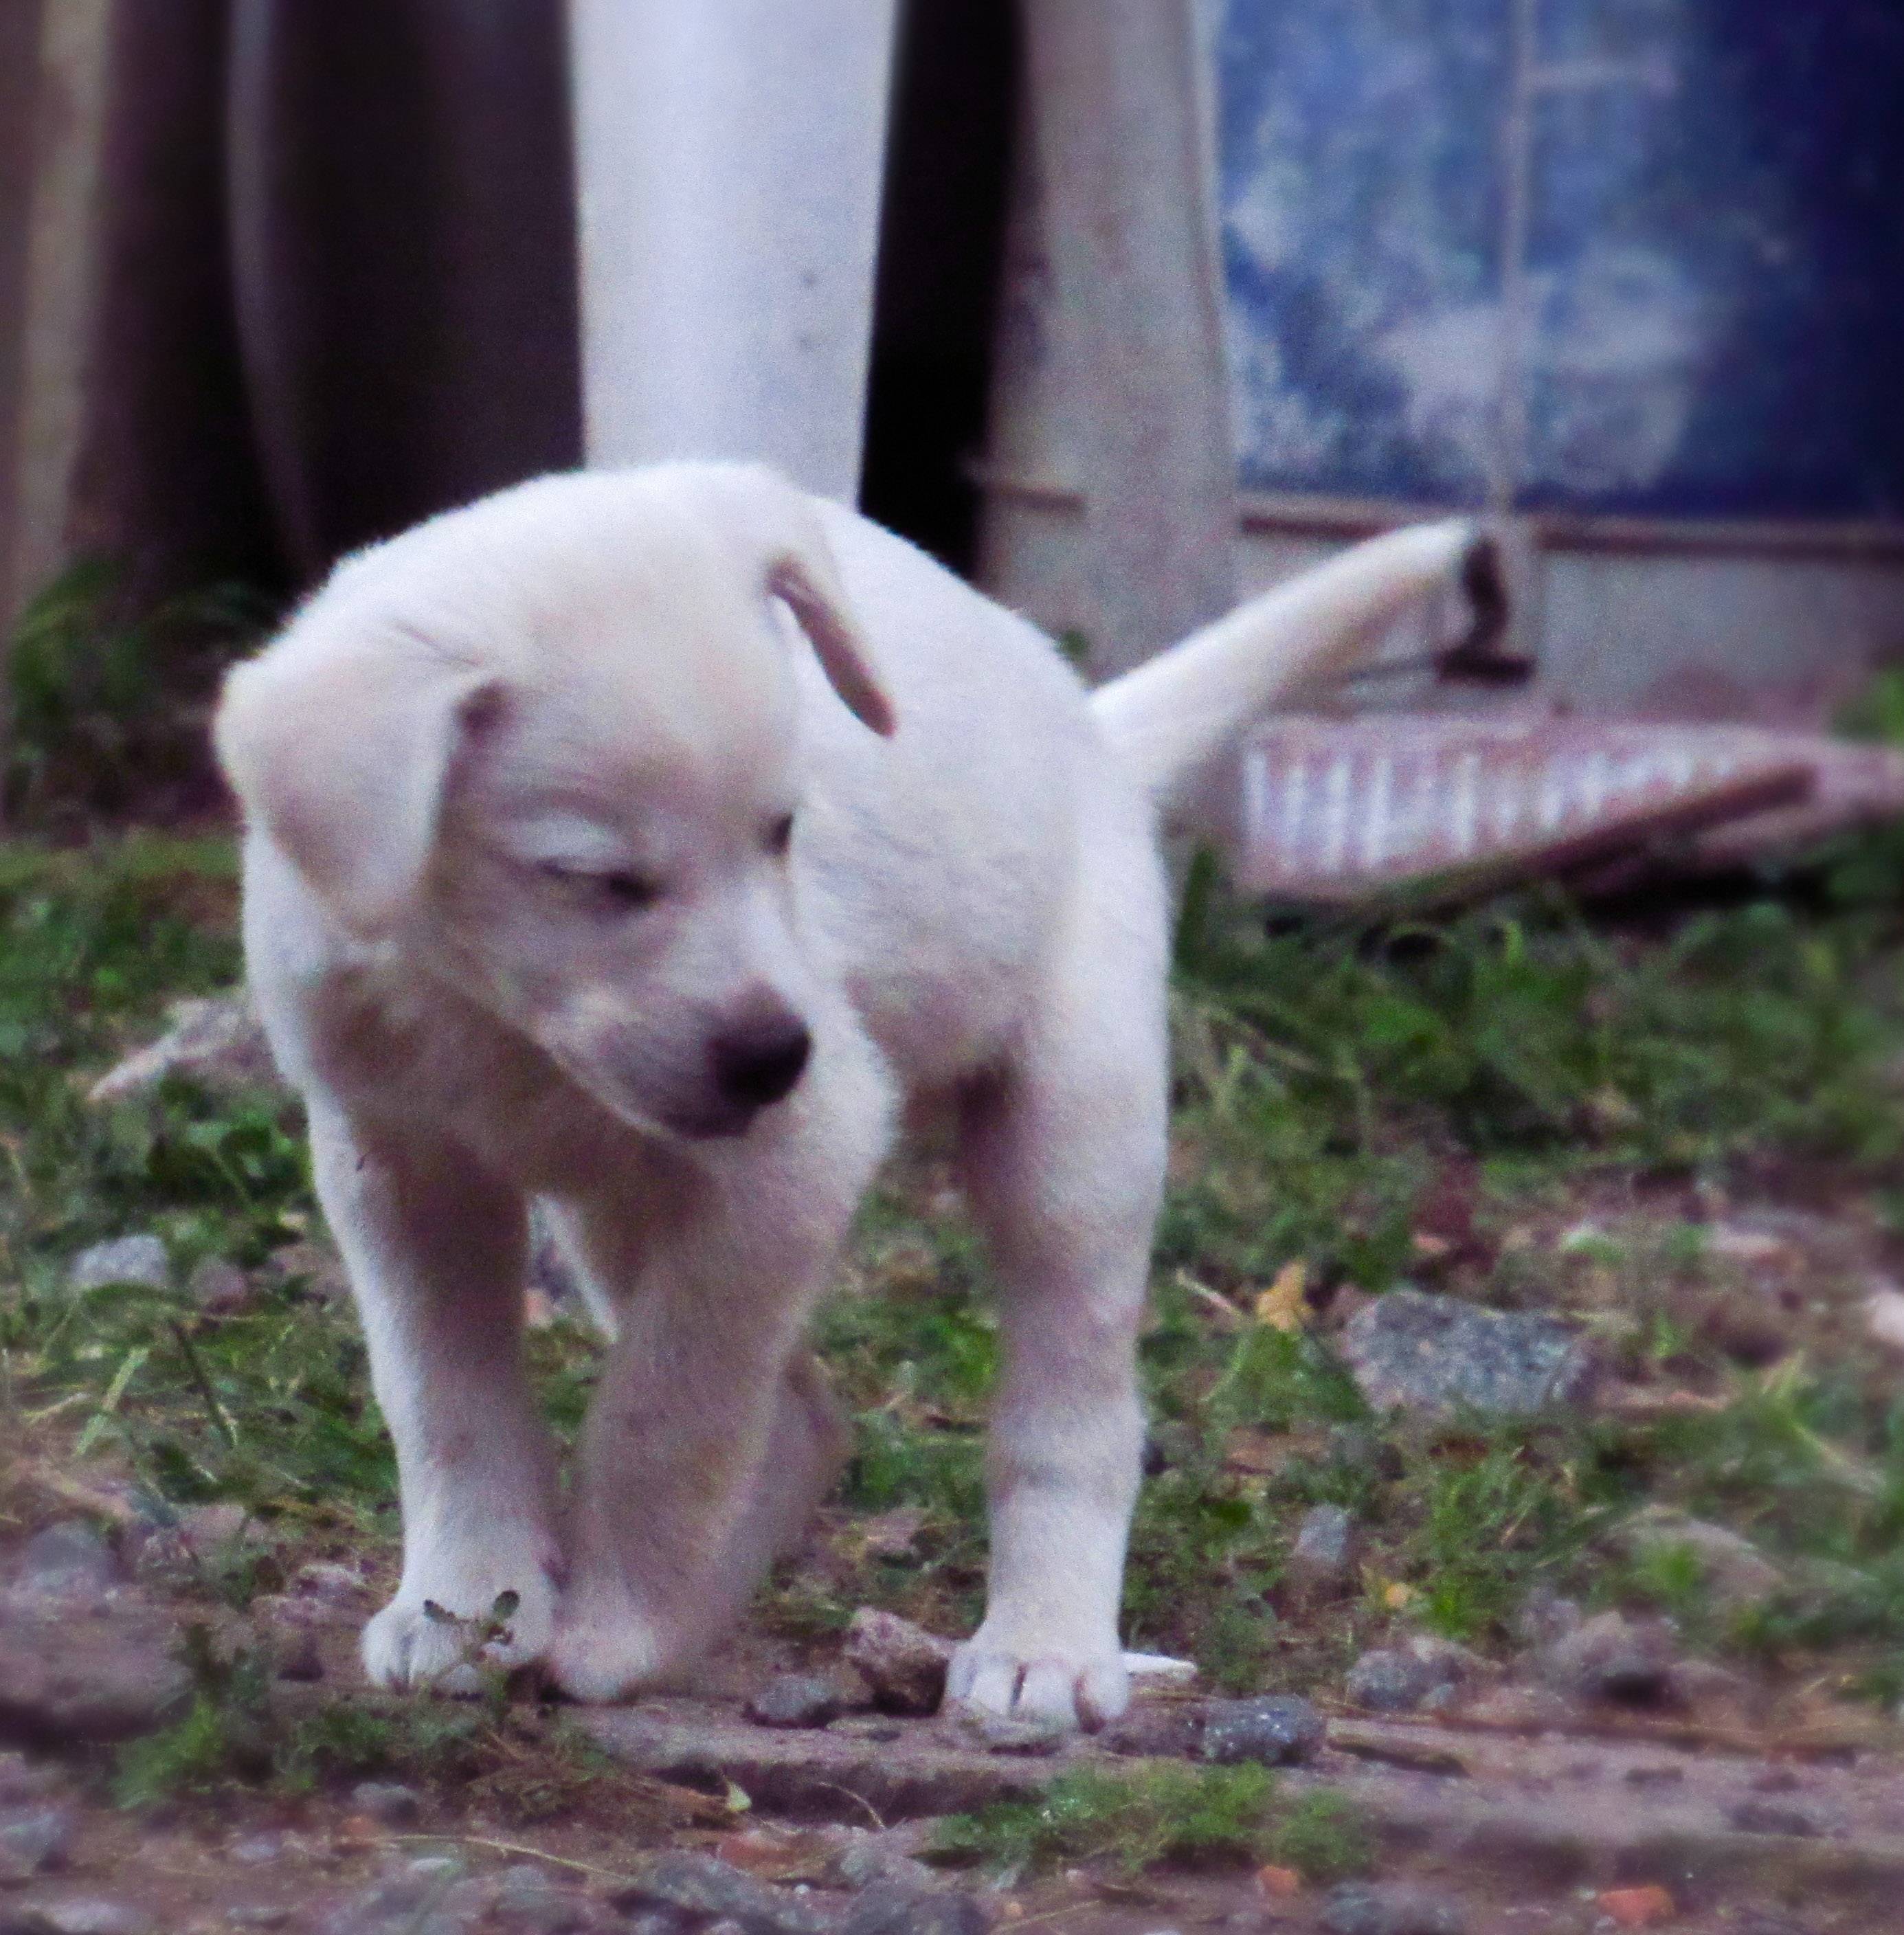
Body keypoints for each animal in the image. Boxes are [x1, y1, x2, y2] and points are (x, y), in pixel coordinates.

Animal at [214, 463, 1477, 1728]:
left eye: (783, 829)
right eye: (593, 879)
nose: (777, 1058)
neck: (483, 1014)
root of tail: (1087, 730)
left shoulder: (796, 1160)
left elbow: (663, 1418)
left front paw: (618, 1625)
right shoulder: (399, 1168)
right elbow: (446, 1403)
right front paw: (468, 1608)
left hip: (1070, 1140)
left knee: (1071, 1415)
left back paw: (1046, 1644)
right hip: (621, 1199)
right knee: (799, 1419)